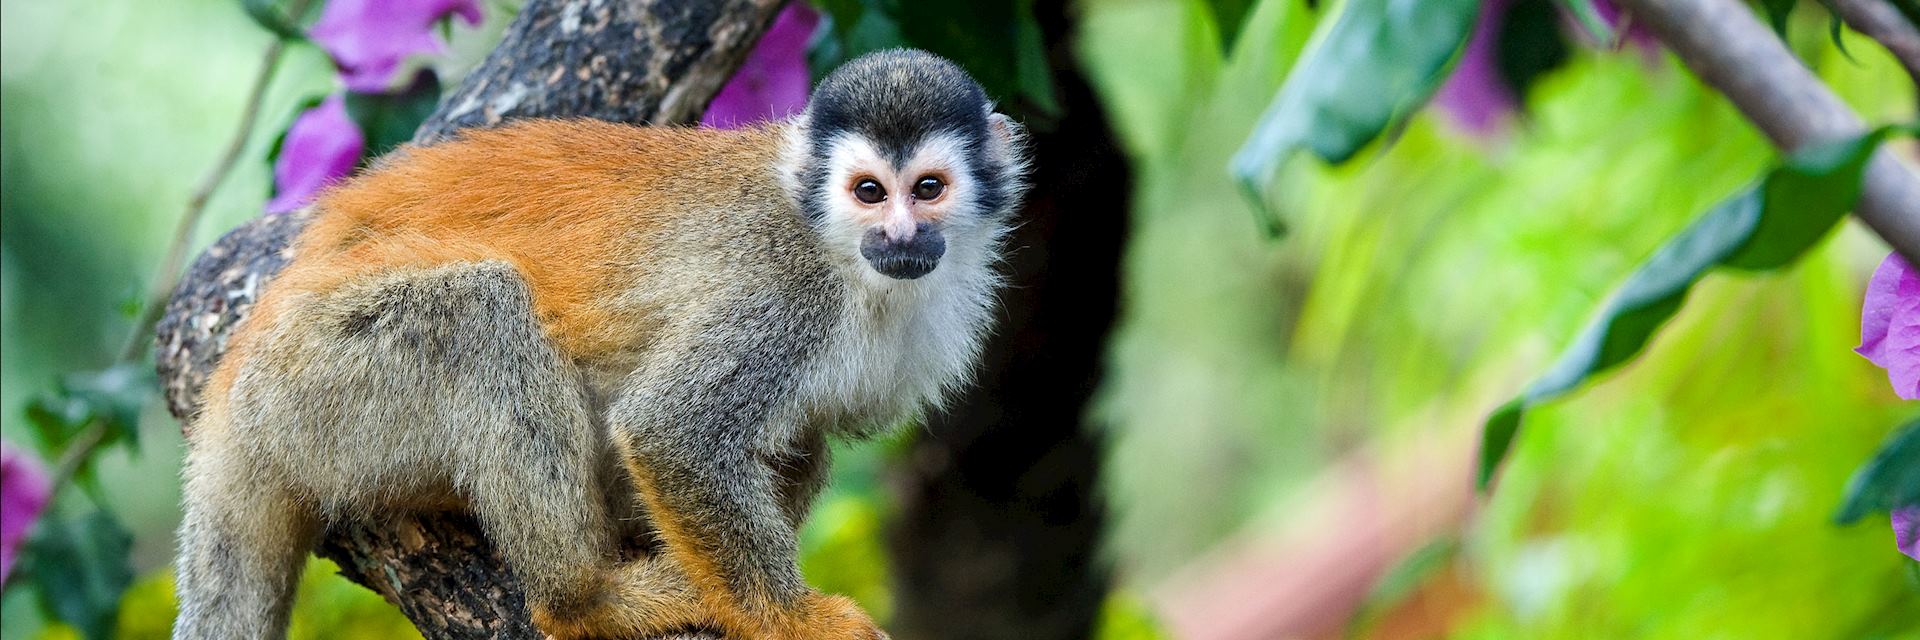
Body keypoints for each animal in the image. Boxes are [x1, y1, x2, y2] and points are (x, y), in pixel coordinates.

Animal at [172, 51, 1029, 638]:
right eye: (869, 193)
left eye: (927, 190)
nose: (902, 237)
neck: (846, 258)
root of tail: (228, 397)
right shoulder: (783, 293)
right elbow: (672, 432)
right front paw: (791, 620)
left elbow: (787, 437)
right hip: (313, 383)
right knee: (484, 315)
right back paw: (583, 602)